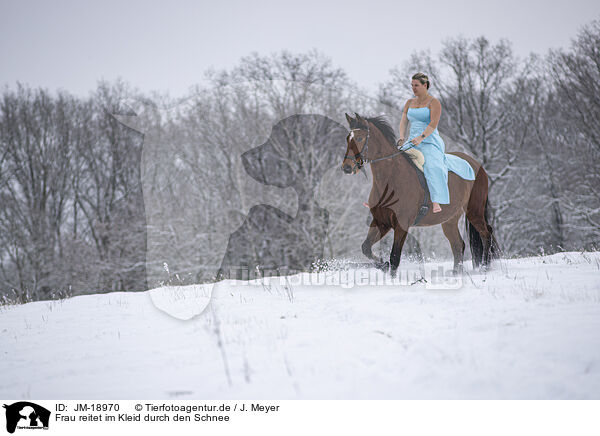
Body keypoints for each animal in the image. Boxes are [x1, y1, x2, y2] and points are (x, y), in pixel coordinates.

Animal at [340, 112, 500, 276]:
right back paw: (456, 272)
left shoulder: (402, 225)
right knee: (458, 244)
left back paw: (485, 267)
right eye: (348, 138)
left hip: (474, 211)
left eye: (360, 138)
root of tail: (477, 165)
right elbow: (366, 248)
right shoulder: (381, 222)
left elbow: (394, 257)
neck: (392, 178)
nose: (347, 167)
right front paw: (382, 265)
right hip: (449, 219)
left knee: (486, 233)